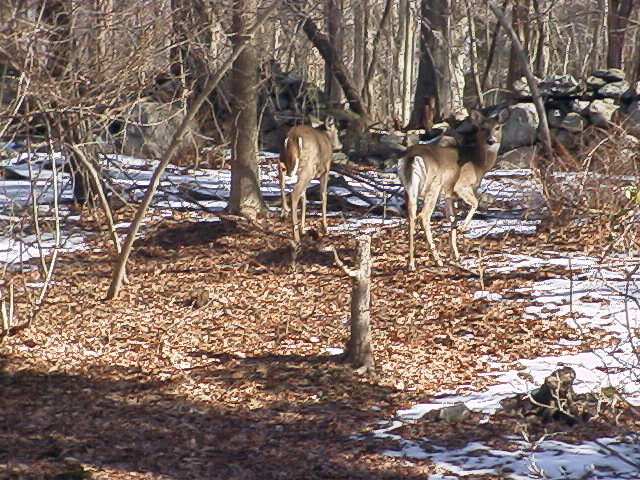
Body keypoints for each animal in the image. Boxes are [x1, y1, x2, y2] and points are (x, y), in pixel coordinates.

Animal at [278, 116, 342, 244]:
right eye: (337, 131)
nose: (340, 145)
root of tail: (292, 137)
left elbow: (304, 196)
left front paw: (303, 228)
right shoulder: (326, 168)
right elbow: (323, 195)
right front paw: (325, 228)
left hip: (285, 157)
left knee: (281, 171)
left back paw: (285, 211)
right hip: (308, 167)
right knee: (294, 193)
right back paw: (295, 235)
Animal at [398, 106, 512, 268]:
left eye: (497, 127)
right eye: (482, 128)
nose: (491, 140)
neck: (477, 163)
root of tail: (412, 157)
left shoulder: (449, 195)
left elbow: (453, 219)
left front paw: (456, 255)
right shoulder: (461, 186)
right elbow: (475, 203)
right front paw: (465, 227)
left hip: (408, 188)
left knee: (411, 216)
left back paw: (411, 263)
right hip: (433, 186)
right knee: (424, 216)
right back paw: (437, 259)